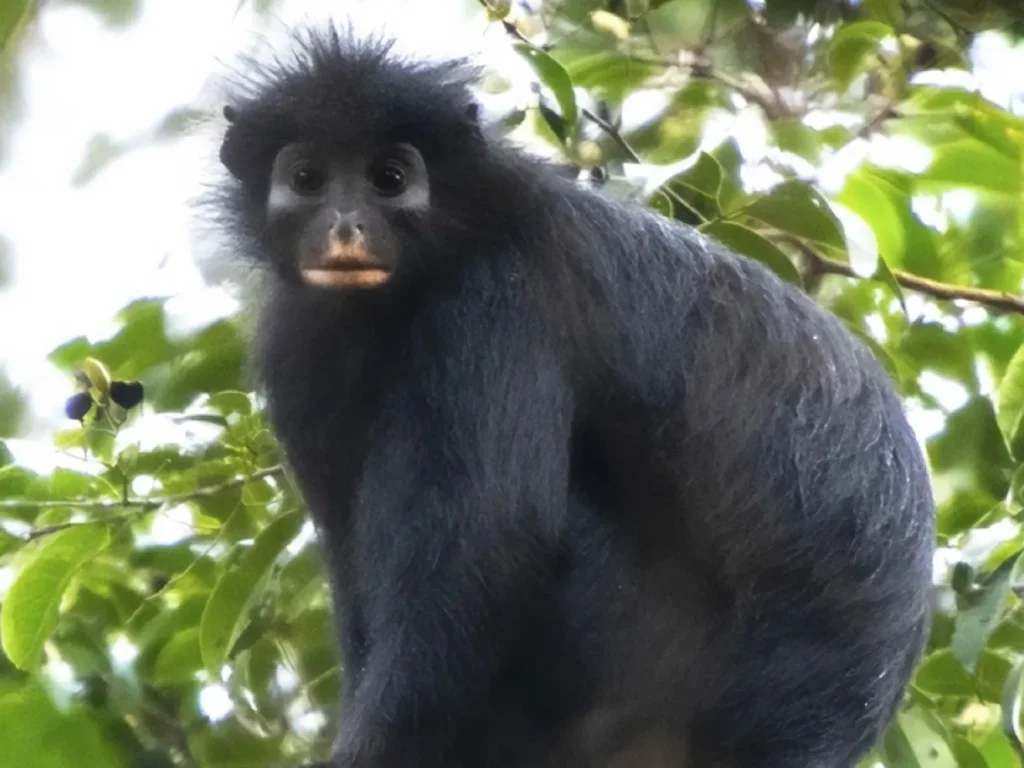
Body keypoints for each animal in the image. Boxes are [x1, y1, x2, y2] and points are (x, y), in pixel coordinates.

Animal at [212, 27, 935, 768]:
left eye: (389, 179)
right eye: (307, 179)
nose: (345, 225)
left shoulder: (495, 298)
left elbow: (489, 547)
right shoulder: (298, 341)